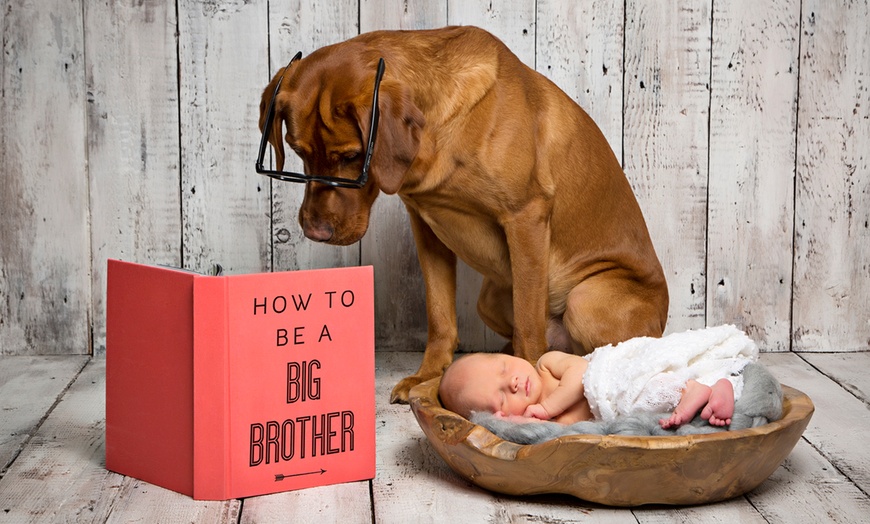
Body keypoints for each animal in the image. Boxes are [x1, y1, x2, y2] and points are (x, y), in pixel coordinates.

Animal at [258, 27, 668, 406]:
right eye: (298, 151)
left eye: (350, 156)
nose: (314, 231)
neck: (438, 134)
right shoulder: (424, 225)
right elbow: (440, 316)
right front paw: (428, 376)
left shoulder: (526, 217)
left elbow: (529, 325)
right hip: (490, 298)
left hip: (585, 301)